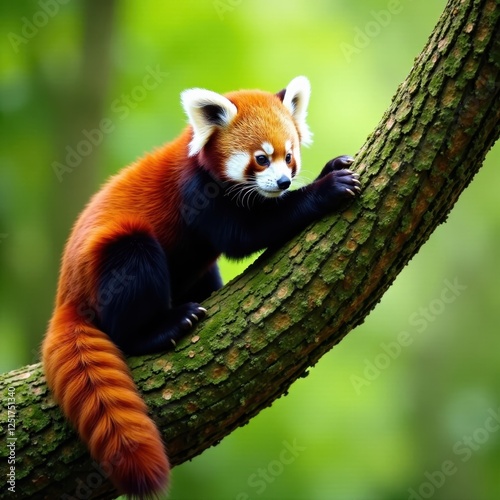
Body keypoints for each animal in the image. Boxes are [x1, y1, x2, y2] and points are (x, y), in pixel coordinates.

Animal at [42, 76, 360, 498]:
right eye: (261, 158)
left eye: (289, 156)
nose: (283, 182)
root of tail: (66, 293)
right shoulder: (195, 191)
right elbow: (244, 234)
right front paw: (327, 187)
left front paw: (332, 166)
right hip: (115, 257)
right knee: (129, 286)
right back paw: (162, 327)